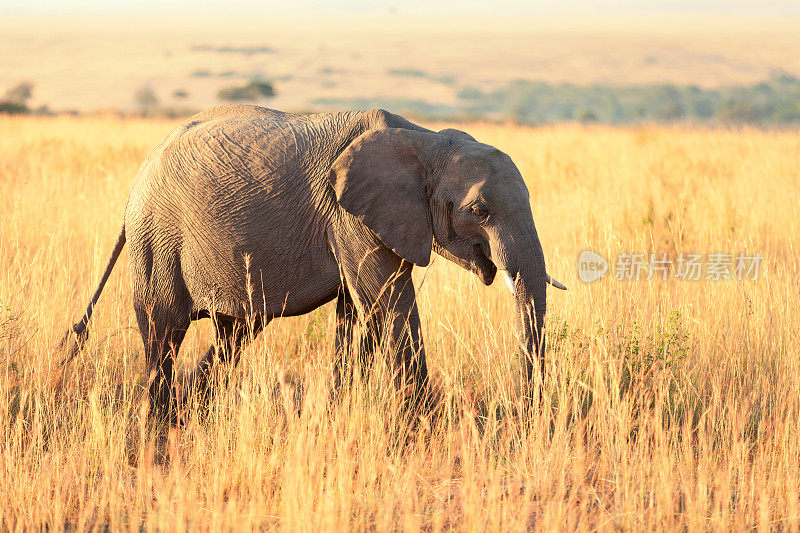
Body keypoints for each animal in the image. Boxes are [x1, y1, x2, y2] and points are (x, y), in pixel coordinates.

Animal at [62, 105, 564, 420]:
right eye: (479, 210)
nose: (525, 411)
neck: (425, 140)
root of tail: (139, 177)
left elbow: (357, 314)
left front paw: (338, 411)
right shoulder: (349, 215)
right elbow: (388, 306)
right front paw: (424, 427)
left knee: (235, 333)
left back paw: (189, 409)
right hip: (158, 237)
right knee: (162, 330)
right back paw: (159, 423)